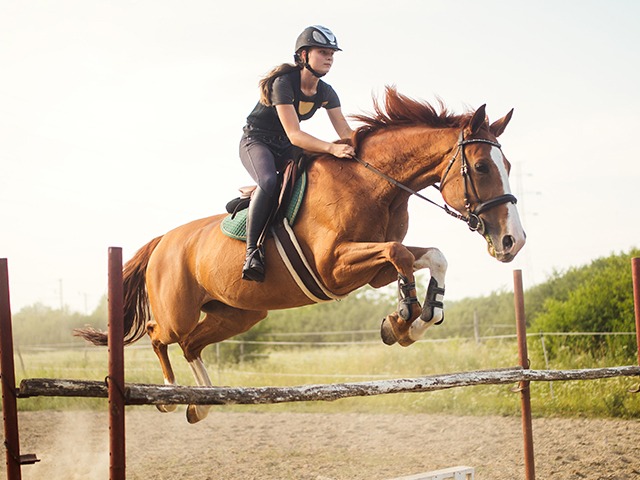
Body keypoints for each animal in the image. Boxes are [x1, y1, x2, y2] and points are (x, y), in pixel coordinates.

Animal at [75, 87, 526, 423]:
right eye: (482, 167)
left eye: (506, 164)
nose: (513, 241)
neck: (375, 186)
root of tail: (163, 241)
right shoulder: (334, 268)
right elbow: (399, 253)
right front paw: (403, 318)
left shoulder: (371, 272)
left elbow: (432, 256)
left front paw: (414, 320)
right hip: (178, 311)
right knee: (159, 334)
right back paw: (171, 395)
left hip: (238, 314)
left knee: (191, 345)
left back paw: (202, 402)